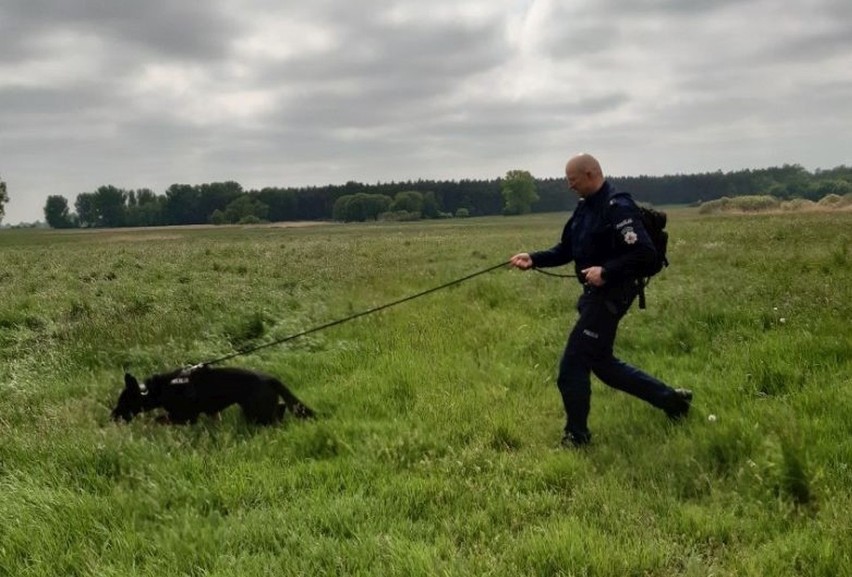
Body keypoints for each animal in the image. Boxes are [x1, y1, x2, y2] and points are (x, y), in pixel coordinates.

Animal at [111, 364, 314, 424]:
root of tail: (270, 378)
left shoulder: (185, 417)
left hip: (255, 410)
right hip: (257, 408)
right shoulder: (211, 412)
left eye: (123, 402)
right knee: (280, 407)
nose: (112, 416)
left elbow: (159, 419)